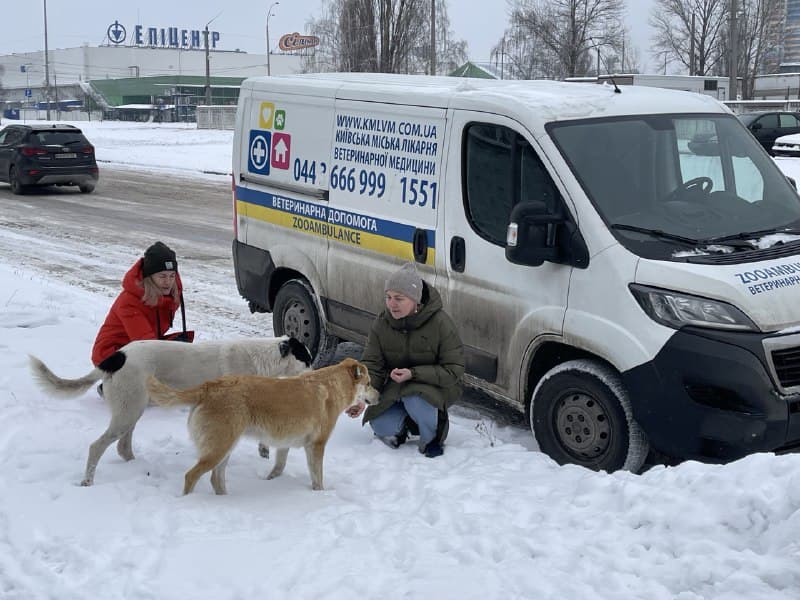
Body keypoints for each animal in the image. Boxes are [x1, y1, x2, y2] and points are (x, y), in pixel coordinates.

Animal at [28, 336, 310, 486]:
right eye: (306, 358)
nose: (315, 371)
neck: (262, 358)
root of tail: (118, 356)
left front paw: (264, 449)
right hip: (128, 411)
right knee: (97, 446)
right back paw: (88, 481)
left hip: (132, 409)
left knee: (122, 446)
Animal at [146, 358, 378, 494]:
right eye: (368, 384)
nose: (378, 395)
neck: (330, 386)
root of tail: (209, 386)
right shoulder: (316, 446)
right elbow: (317, 478)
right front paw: (320, 496)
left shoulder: (285, 443)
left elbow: (279, 466)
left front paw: (270, 480)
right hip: (218, 449)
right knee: (191, 476)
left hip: (224, 448)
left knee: (215, 478)